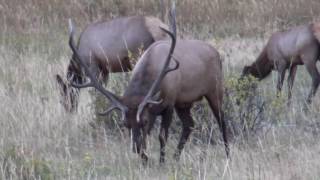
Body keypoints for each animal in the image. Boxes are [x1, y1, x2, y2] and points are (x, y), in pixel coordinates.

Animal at [67, 11, 229, 163]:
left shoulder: (169, 103)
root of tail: (216, 52)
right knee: (189, 124)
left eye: (143, 121)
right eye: (125, 124)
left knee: (222, 121)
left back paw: (228, 154)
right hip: (184, 103)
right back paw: (176, 157)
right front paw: (146, 160)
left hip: (215, 89)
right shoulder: (162, 107)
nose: (136, 148)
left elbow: (162, 136)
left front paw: (161, 162)